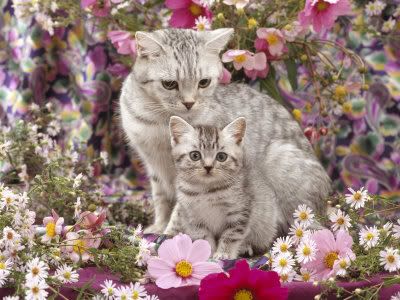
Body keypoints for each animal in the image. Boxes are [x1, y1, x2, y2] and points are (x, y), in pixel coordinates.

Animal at [119, 29, 332, 238]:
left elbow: (180, 210)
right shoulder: (154, 165)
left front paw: (170, 233)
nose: (189, 103)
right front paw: (158, 226)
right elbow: (161, 199)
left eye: (203, 82)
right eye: (169, 84)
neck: (160, 122)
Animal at [162, 116, 278, 258]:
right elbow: (203, 236)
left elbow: (231, 235)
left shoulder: (240, 212)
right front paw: (206, 252)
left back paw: (245, 247)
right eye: (195, 155)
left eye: (221, 156)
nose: (208, 167)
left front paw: (224, 253)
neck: (206, 190)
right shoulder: (193, 217)